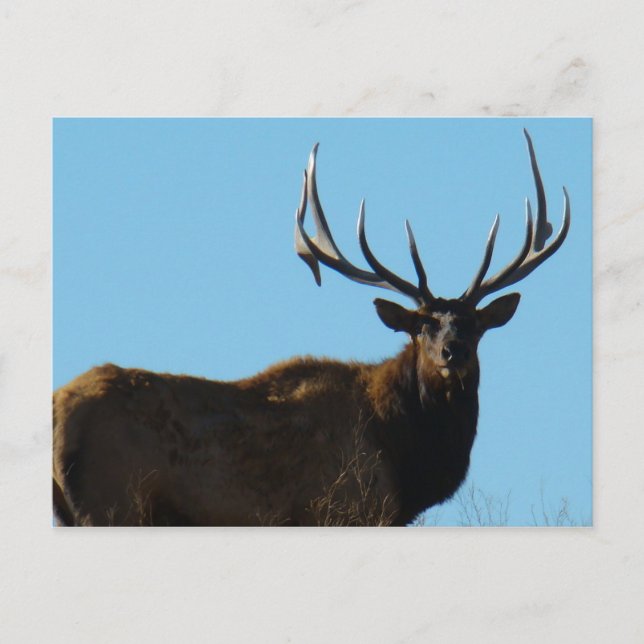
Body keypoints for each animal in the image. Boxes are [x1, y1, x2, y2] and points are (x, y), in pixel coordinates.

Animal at [53, 130, 570, 527]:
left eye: (476, 326)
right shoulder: (346, 506)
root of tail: (62, 413)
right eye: (421, 327)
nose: (454, 351)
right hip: (114, 500)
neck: (405, 457)